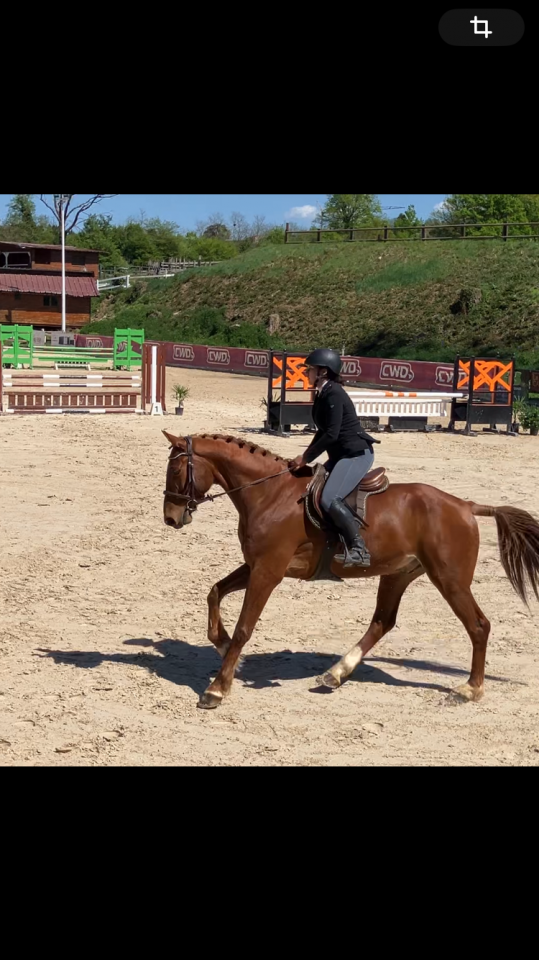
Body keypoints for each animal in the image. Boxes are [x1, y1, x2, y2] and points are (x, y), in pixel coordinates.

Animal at [162, 431, 539, 709]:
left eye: (176, 471)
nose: (170, 518)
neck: (270, 493)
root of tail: (465, 505)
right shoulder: (257, 565)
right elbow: (215, 591)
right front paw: (223, 647)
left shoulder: (268, 571)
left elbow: (244, 628)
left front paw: (217, 688)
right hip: (398, 574)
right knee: (382, 622)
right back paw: (336, 673)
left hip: (450, 579)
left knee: (478, 626)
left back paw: (470, 689)